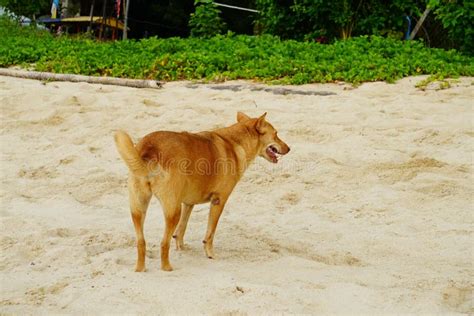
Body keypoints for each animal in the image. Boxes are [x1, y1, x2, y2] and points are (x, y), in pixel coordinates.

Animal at [116, 111, 290, 272]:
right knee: (163, 243)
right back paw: (166, 267)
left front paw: (181, 247)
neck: (236, 143)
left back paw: (140, 268)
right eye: (276, 134)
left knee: (141, 242)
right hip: (172, 211)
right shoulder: (218, 201)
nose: (289, 148)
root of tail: (149, 149)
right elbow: (210, 233)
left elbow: (181, 229)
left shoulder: (188, 203)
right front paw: (210, 253)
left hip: (139, 209)